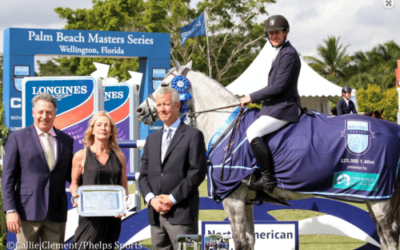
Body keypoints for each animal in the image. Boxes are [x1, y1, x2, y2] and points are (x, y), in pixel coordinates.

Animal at [136, 60, 400, 250]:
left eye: (164, 84)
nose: (140, 110)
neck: (226, 125)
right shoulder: (245, 200)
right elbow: (250, 241)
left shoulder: (233, 198)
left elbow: (240, 242)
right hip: (375, 198)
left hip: (379, 199)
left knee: (389, 239)